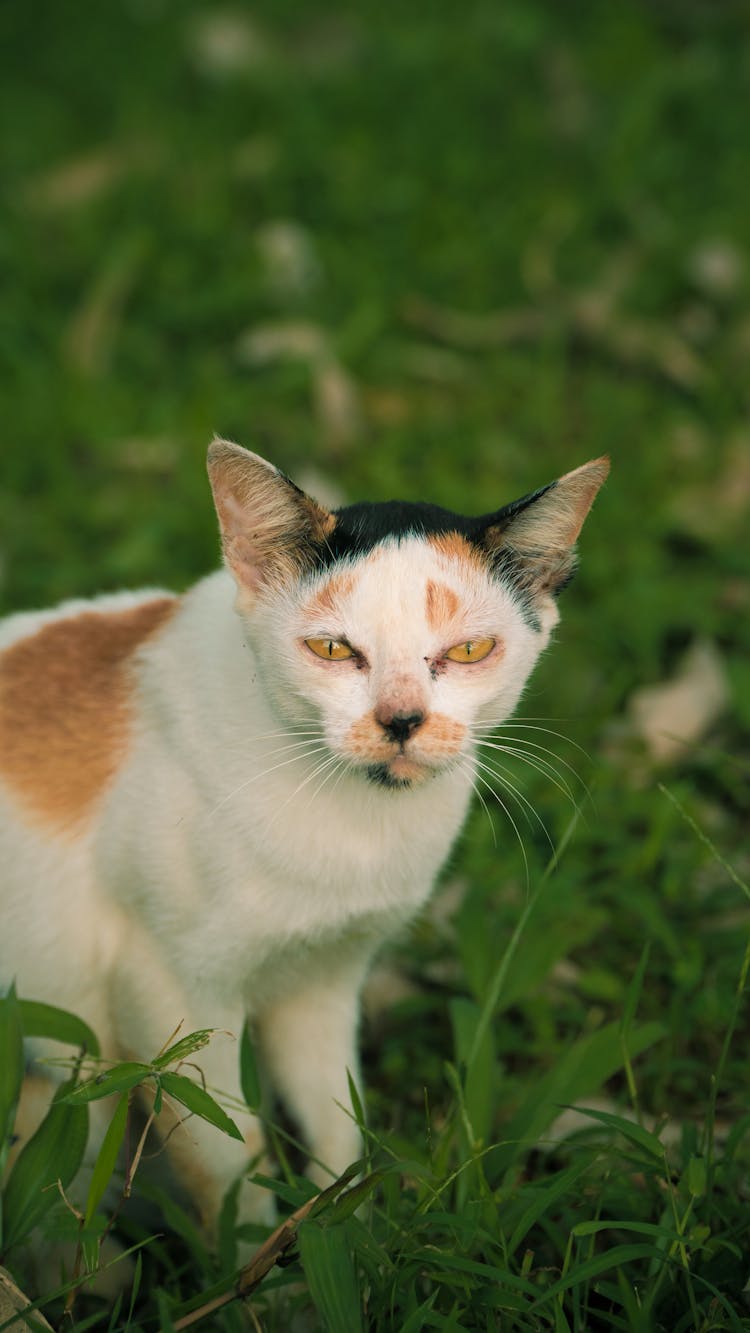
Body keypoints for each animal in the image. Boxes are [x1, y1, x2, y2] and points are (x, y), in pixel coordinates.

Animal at [0, 439, 610, 1247]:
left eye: (470, 649)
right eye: (332, 648)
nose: (402, 719)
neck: (352, 825)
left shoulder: (323, 980)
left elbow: (337, 1124)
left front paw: (343, 1241)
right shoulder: (165, 992)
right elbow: (227, 1157)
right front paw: (247, 1263)